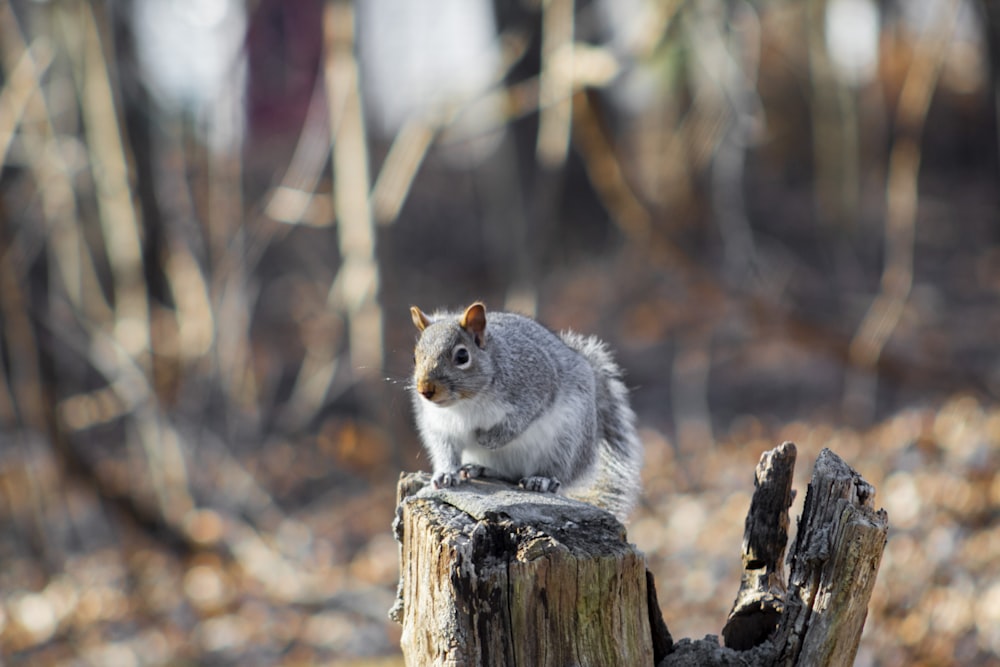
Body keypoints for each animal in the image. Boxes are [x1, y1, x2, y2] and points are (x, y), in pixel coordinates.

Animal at [410, 300, 644, 524]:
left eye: (462, 356)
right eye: (415, 357)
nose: (425, 390)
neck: (465, 403)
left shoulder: (535, 387)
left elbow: (519, 421)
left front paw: (490, 439)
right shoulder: (439, 426)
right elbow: (445, 450)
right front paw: (446, 474)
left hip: (566, 440)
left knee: (557, 471)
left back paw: (542, 479)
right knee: (507, 475)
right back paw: (479, 468)